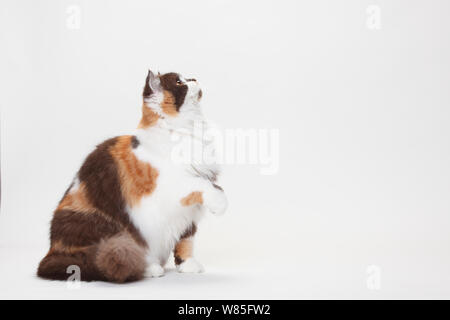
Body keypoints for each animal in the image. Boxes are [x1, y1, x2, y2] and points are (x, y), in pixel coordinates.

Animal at [36, 70, 227, 282]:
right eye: (179, 82)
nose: (194, 79)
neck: (186, 130)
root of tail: (50, 254)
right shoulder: (165, 190)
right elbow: (203, 187)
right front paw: (219, 204)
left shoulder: (189, 214)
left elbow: (186, 241)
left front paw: (188, 266)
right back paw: (149, 269)